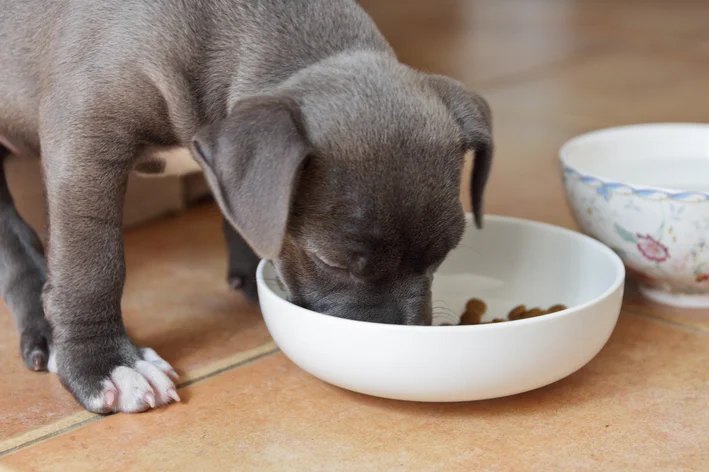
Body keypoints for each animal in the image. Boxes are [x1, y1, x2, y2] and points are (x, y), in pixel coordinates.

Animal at [0, 0, 490, 412]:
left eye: (443, 256)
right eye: (331, 262)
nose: (400, 347)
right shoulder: (87, 141)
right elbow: (91, 263)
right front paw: (103, 364)